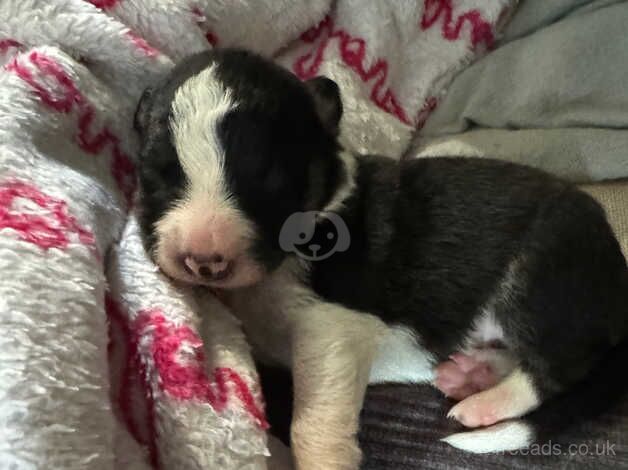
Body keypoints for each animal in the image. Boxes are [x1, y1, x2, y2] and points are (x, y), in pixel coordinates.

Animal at [135, 49, 628, 468]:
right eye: (157, 175)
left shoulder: (331, 327)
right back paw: (471, 374)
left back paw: (484, 404)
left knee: (560, 367)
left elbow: (313, 423)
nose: (204, 261)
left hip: (543, 275)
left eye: (269, 180)